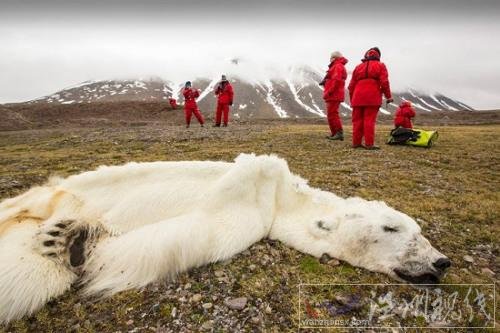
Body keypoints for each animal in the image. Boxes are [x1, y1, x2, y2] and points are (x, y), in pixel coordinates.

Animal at [0, 152, 450, 322]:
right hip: (54, 193)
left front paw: (76, 242)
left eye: (419, 230)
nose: (441, 262)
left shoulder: (249, 220)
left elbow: (182, 237)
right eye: (393, 227)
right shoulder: (256, 187)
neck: (281, 198)